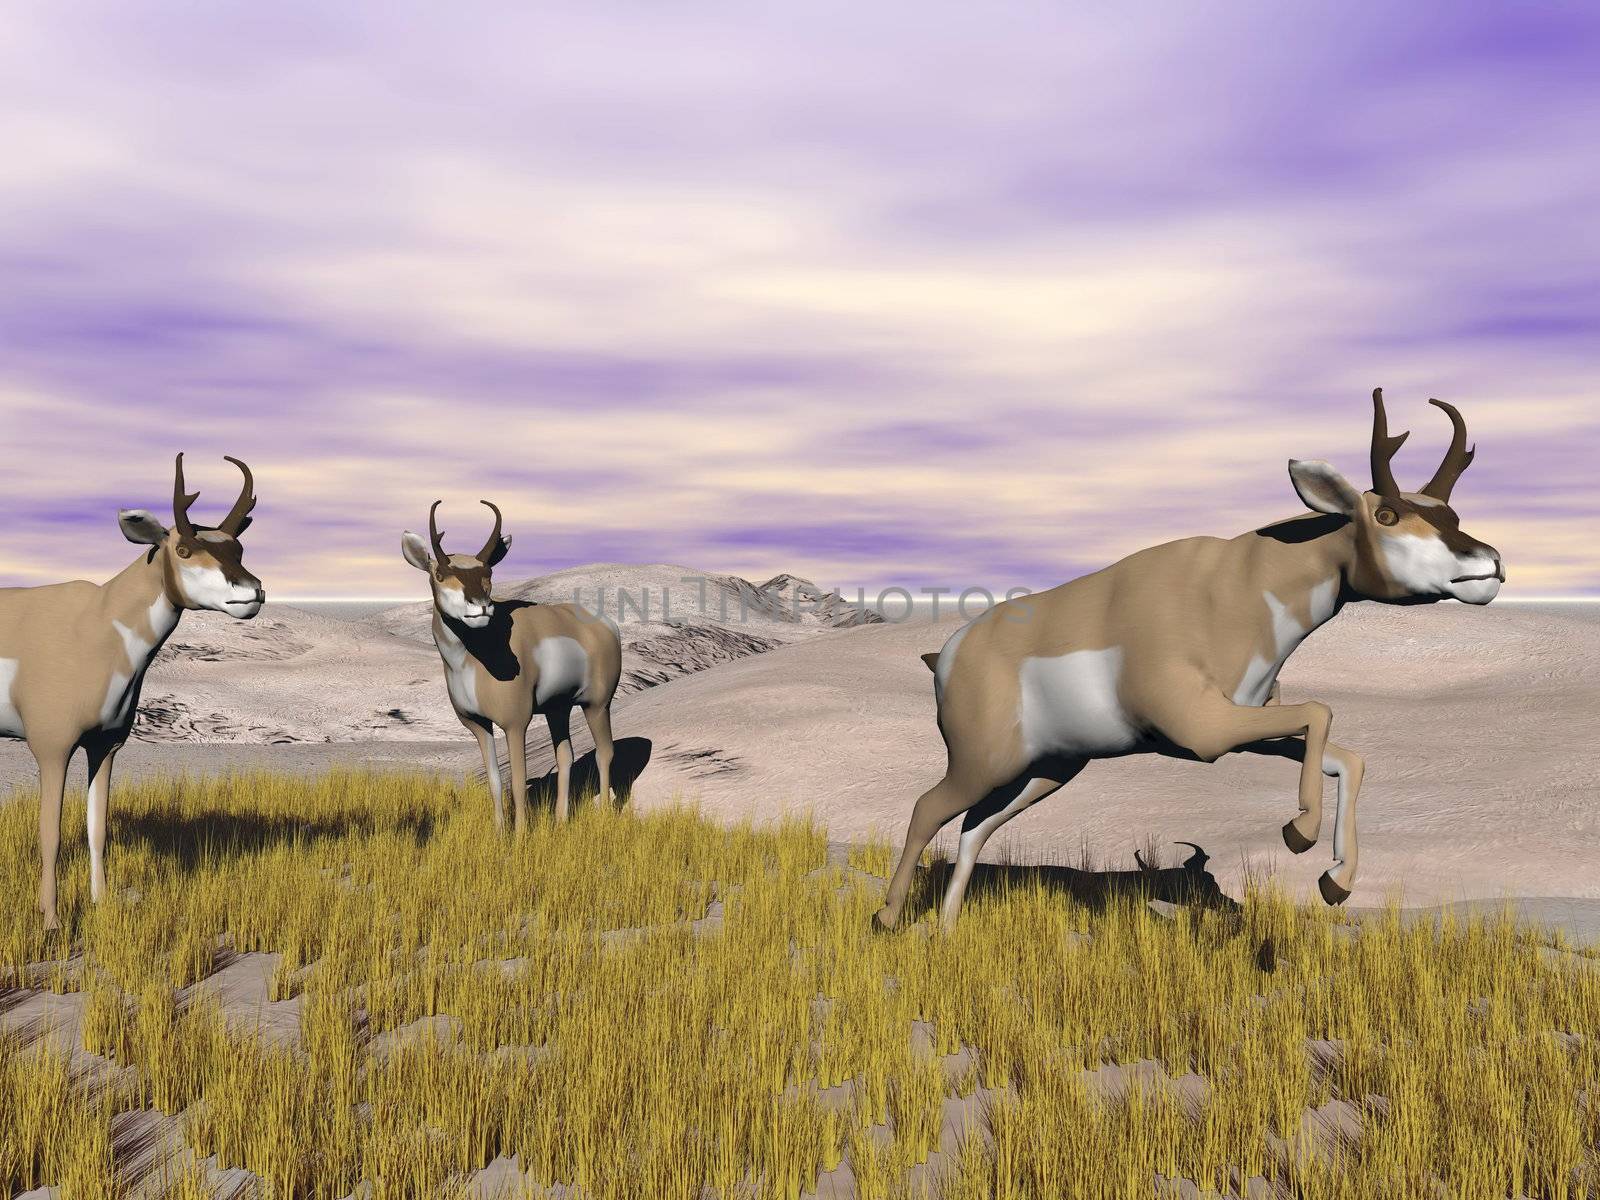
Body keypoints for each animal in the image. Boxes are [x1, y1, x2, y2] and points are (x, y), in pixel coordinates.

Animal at [0, 454, 262, 934]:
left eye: (237, 548)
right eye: (183, 549)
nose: (253, 593)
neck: (97, 623)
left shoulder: (105, 746)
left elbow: (97, 828)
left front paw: (101, 904)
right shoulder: (52, 749)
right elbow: (51, 833)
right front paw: (52, 923)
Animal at [403, 502, 620, 832]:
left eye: (489, 571)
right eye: (439, 572)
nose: (481, 605)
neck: (472, 661)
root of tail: (606, 625)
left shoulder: (516, 724)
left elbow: (517, 783)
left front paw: (518, 838)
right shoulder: (478, 725)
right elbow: (495, 781)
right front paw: (498, 833)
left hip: (597, 705)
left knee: (605, 753)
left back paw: (604, 816)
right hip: (558, 709)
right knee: (565, 755)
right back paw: (560, 821)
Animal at [883, 390, 1504, 934]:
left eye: (1451, 513)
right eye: (1388, 514)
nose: (1492, 564)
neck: (1235, 587)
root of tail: (950, 652)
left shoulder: (1243, 728)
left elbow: (1348, 756)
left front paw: (1335, 881)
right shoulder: (1205, 732)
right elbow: (1321, 712)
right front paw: (1298, 832)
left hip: (1045, 770)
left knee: (972, 829)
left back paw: (947, 929)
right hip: (982, 763)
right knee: (926, 808)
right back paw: (888, 918)